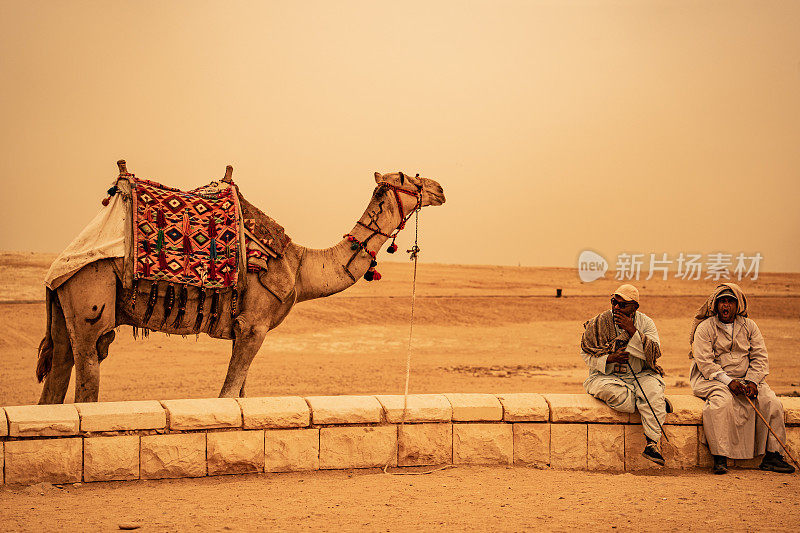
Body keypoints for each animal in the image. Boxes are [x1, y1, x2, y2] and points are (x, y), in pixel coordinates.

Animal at [36, 163, 444, 404]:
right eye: (408, 179)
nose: (439, 187)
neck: (301, 264)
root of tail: (58, 267)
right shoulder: (254, 324)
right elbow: (228, 393)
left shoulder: (243, 328)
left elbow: (239, 392)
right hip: (91, 300)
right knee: (88, 374)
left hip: (64, 313)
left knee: (56, 374)